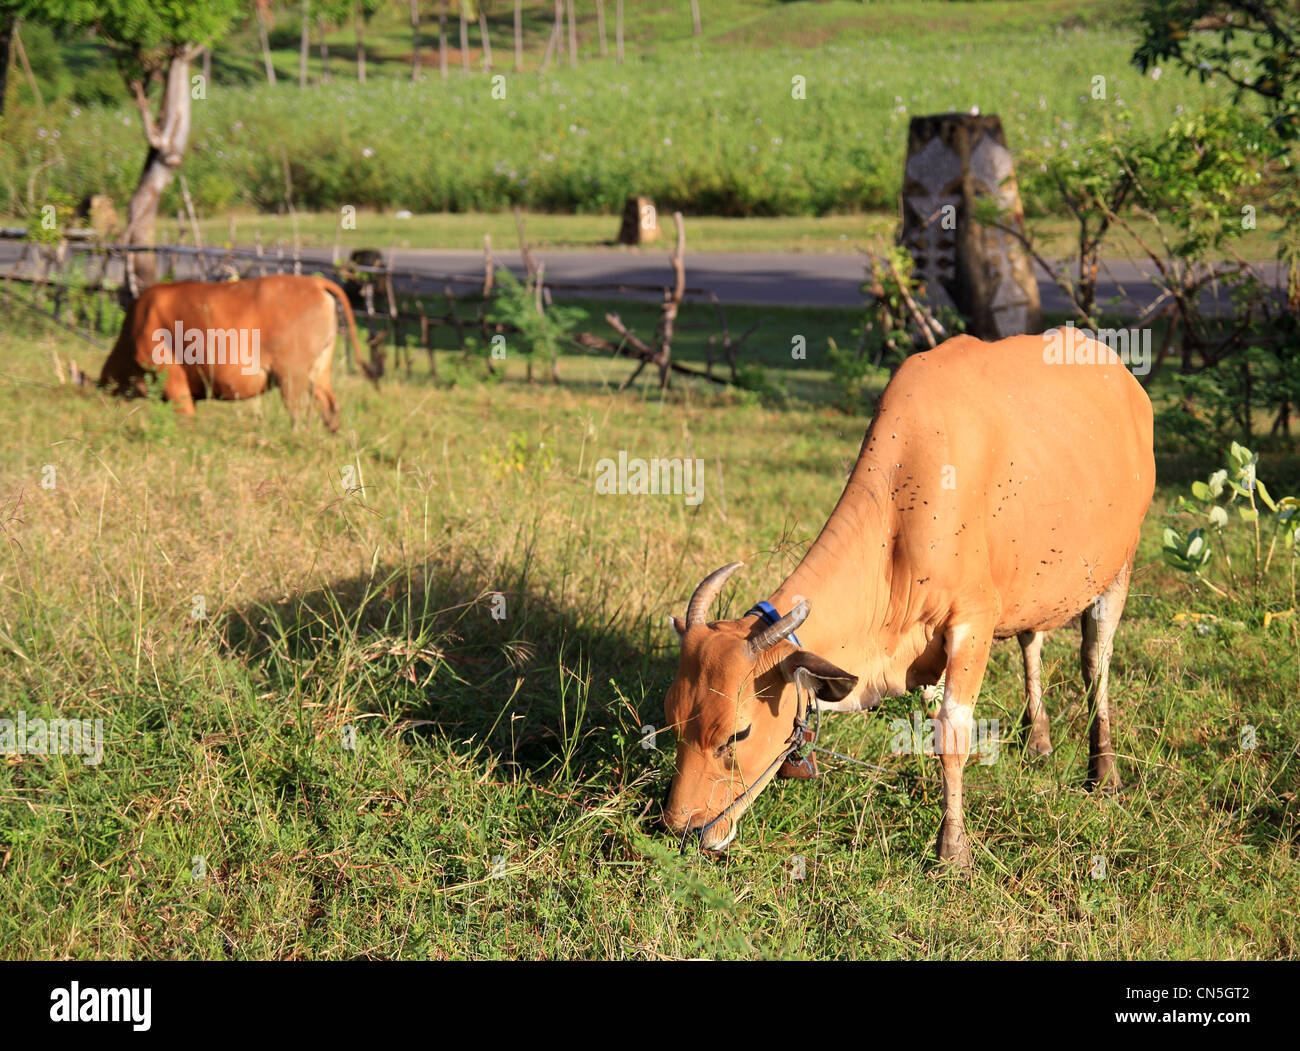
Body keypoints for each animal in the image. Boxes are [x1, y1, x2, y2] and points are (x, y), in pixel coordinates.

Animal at [100, 277, 377, 431]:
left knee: (298, 412)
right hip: (319, 370)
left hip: (291, 374)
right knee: (330, 406)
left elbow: (186, 417)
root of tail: (314, 282)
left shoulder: (171, 375)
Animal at [665, 332, 1154, 863]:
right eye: (673, 720)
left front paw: (953, 849)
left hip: (1120, 566)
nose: (679, 829)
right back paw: (1038, 740)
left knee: (1095, 659)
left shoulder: (973, 622)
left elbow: (952, 734)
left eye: (738, 733)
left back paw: (1104, 772)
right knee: (1032, 640)